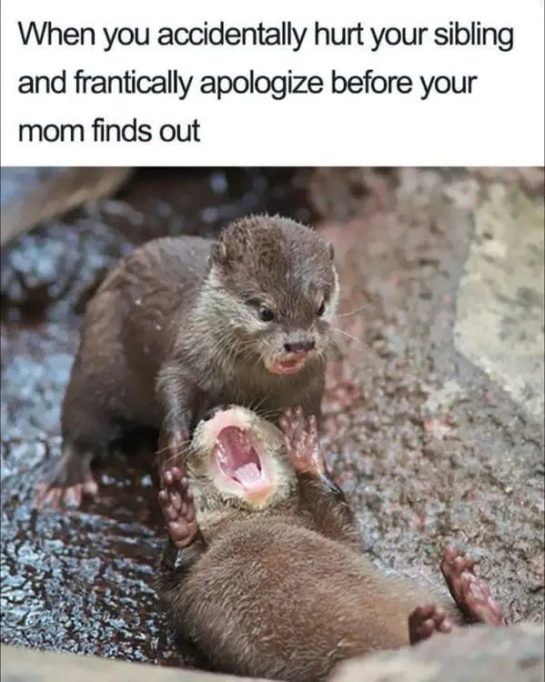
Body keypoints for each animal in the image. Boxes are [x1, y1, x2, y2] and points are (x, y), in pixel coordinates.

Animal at [36, 215, 339, 508]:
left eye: (320, 307)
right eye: (265, 311)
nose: (300, 344)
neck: (246, 384)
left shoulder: (311, 387)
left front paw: (303, 444)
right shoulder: (187, 354)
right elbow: (171, 384)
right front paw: (174, 447)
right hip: (95, 361)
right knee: (81, 421)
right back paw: (66, 481)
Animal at [157, 406, 506, 682]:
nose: (215, 409)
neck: (250, 524)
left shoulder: (335, 532)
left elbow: (339, 516)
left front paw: (305, 451)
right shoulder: (181, 594)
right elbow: (174, 576)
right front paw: (181, 517)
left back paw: (469, 593)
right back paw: (437, 623)